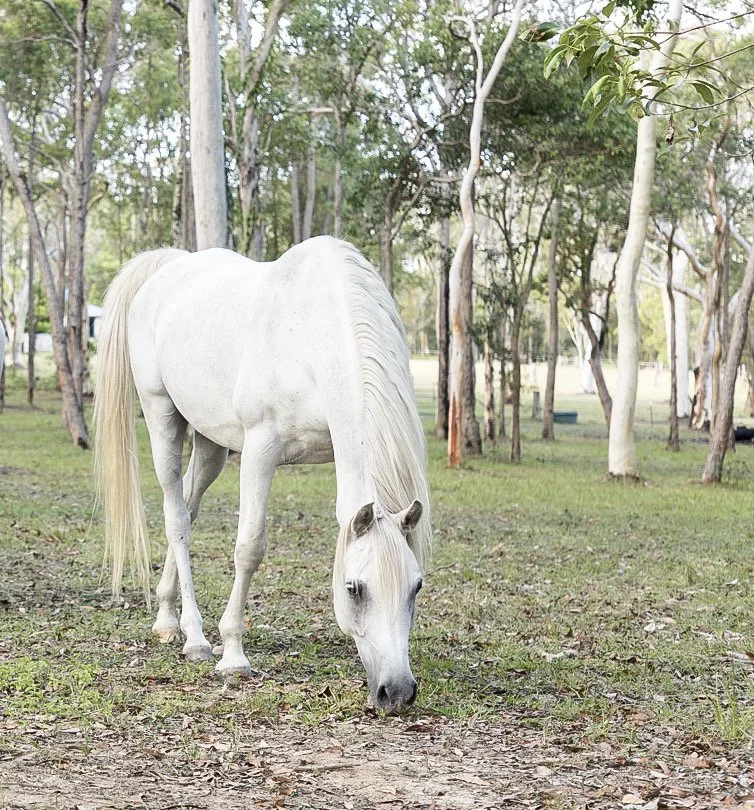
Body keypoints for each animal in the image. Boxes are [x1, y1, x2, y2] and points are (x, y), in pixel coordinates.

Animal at [93, 237, 431, 714]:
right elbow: (249, 548)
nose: (397, 692)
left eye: (416, 587)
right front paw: (233, 655)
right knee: (176, 519)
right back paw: (195, 638)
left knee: (189, 510)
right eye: (354, 588)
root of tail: (168, 267)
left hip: (211, 445)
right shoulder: (259, 451)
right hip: (162, 418)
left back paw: (167, 618)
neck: (311, 336)